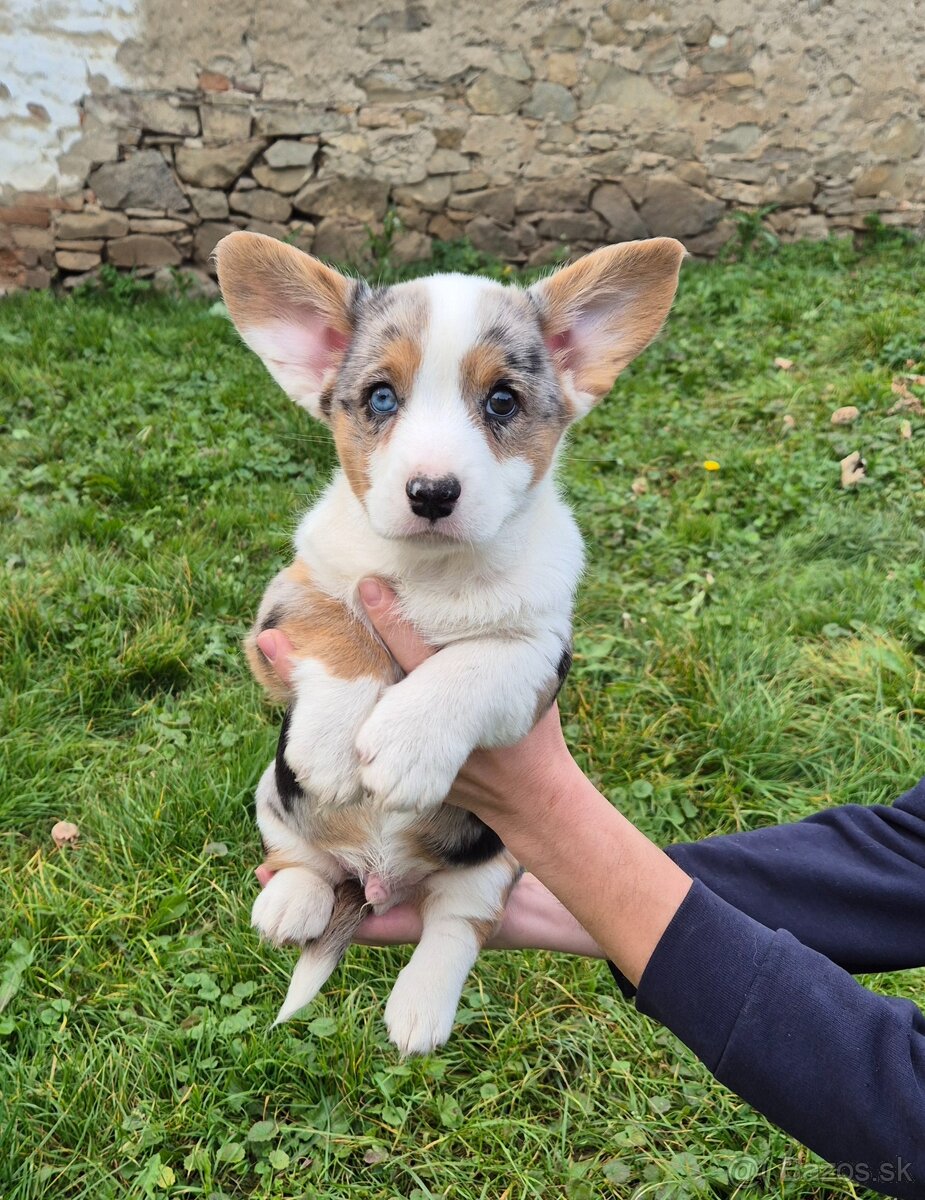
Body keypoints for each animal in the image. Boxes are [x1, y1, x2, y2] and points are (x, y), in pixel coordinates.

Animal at [213, 229, 681, 1056]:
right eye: (380, 398)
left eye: (501, 401)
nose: (431, 493)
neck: (432, 574)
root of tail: (376, 875)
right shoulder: (285, 603)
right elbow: (341, 627)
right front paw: (333, 745)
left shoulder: (540, 654)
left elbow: (476, 659)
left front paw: (406, 742)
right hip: (271, 790)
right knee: (298, 855)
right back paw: (292, 901)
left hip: (502, 857)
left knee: (456, 924)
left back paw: (419, 1008)